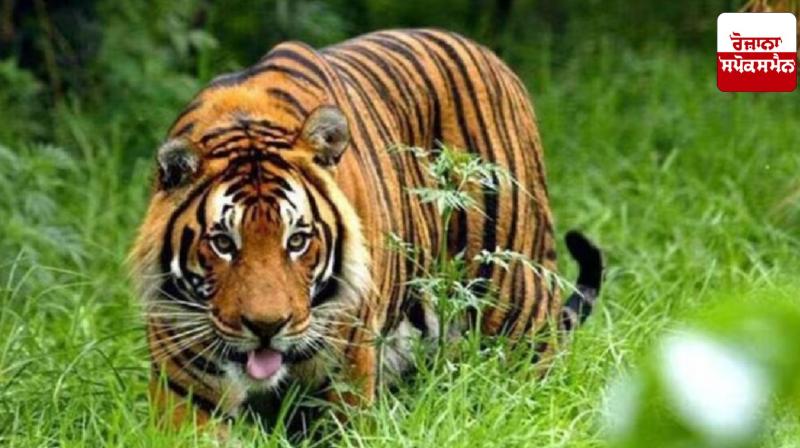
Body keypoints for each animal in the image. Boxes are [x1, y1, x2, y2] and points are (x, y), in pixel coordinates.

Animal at [129, 28, 603, 429]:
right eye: (223, 243)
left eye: (297, 241)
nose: (267, 327)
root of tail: (491, 55)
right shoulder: (187, 393)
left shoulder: (345, 376)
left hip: (514, 303)